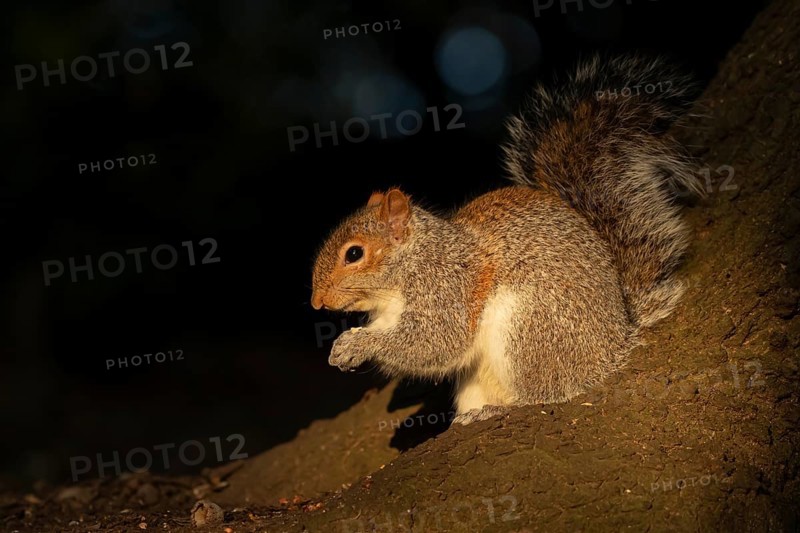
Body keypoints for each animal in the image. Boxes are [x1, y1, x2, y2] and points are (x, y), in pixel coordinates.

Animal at [310, 55, 705, 425]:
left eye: (354, 254)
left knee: (544, 393)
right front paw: (343, 347)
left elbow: (436, 341)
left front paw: (361, 344)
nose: (316, 302)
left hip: (531, 330)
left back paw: (503, 408)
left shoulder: (447, 287)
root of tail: (615, 341)